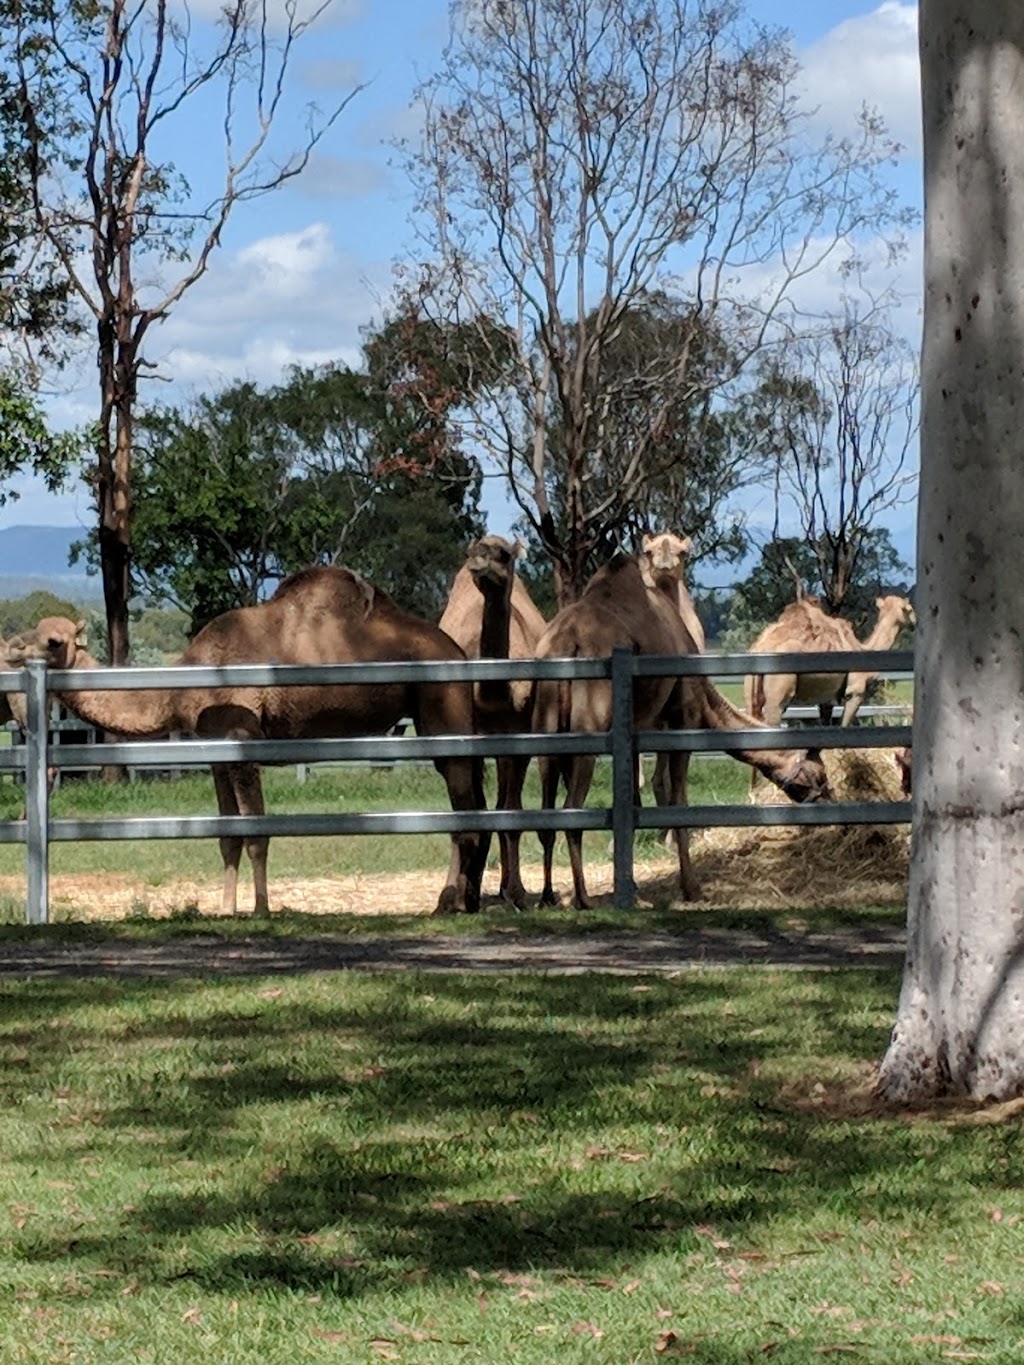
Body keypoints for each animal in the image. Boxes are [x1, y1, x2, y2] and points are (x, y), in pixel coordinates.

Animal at [6, 565, 491, 917]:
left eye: (54, 641)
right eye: (32, 630)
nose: (11, 648)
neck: (183, 683)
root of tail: (457, 652)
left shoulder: (243, 743)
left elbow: (256, 831)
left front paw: (260, 909)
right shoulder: (218, 754)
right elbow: (228, 835)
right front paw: (225, 909)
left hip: (441, 700)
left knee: (463, 808)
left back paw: (449, 902)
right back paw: (460, 900)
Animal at [442, 532, 554, 906]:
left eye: (503, 554)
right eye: (470, 551)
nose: (477, 562)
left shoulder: (517, 737)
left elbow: (511, 811)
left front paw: (516, 892)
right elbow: (468, 808)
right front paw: (455, 895)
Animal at [529, 554, 835, 906]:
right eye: (817, 774)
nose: (830, 800)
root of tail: (567, 642)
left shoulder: (641, 728)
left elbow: (638, 795)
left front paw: (634, 885)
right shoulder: (683, 721)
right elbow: (677, 802)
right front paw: (691, 888)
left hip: (546, 724)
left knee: (547, 813)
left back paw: (548, 896)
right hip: (589, 723)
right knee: (572, 808)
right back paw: (582, 899)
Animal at [742, 595, 917, 726]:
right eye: (909, 609)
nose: (915, 622)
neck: (862, 648)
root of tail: (761, 648)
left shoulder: (826, 698)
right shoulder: (855, 691)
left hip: (750, 690)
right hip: (778, 690)